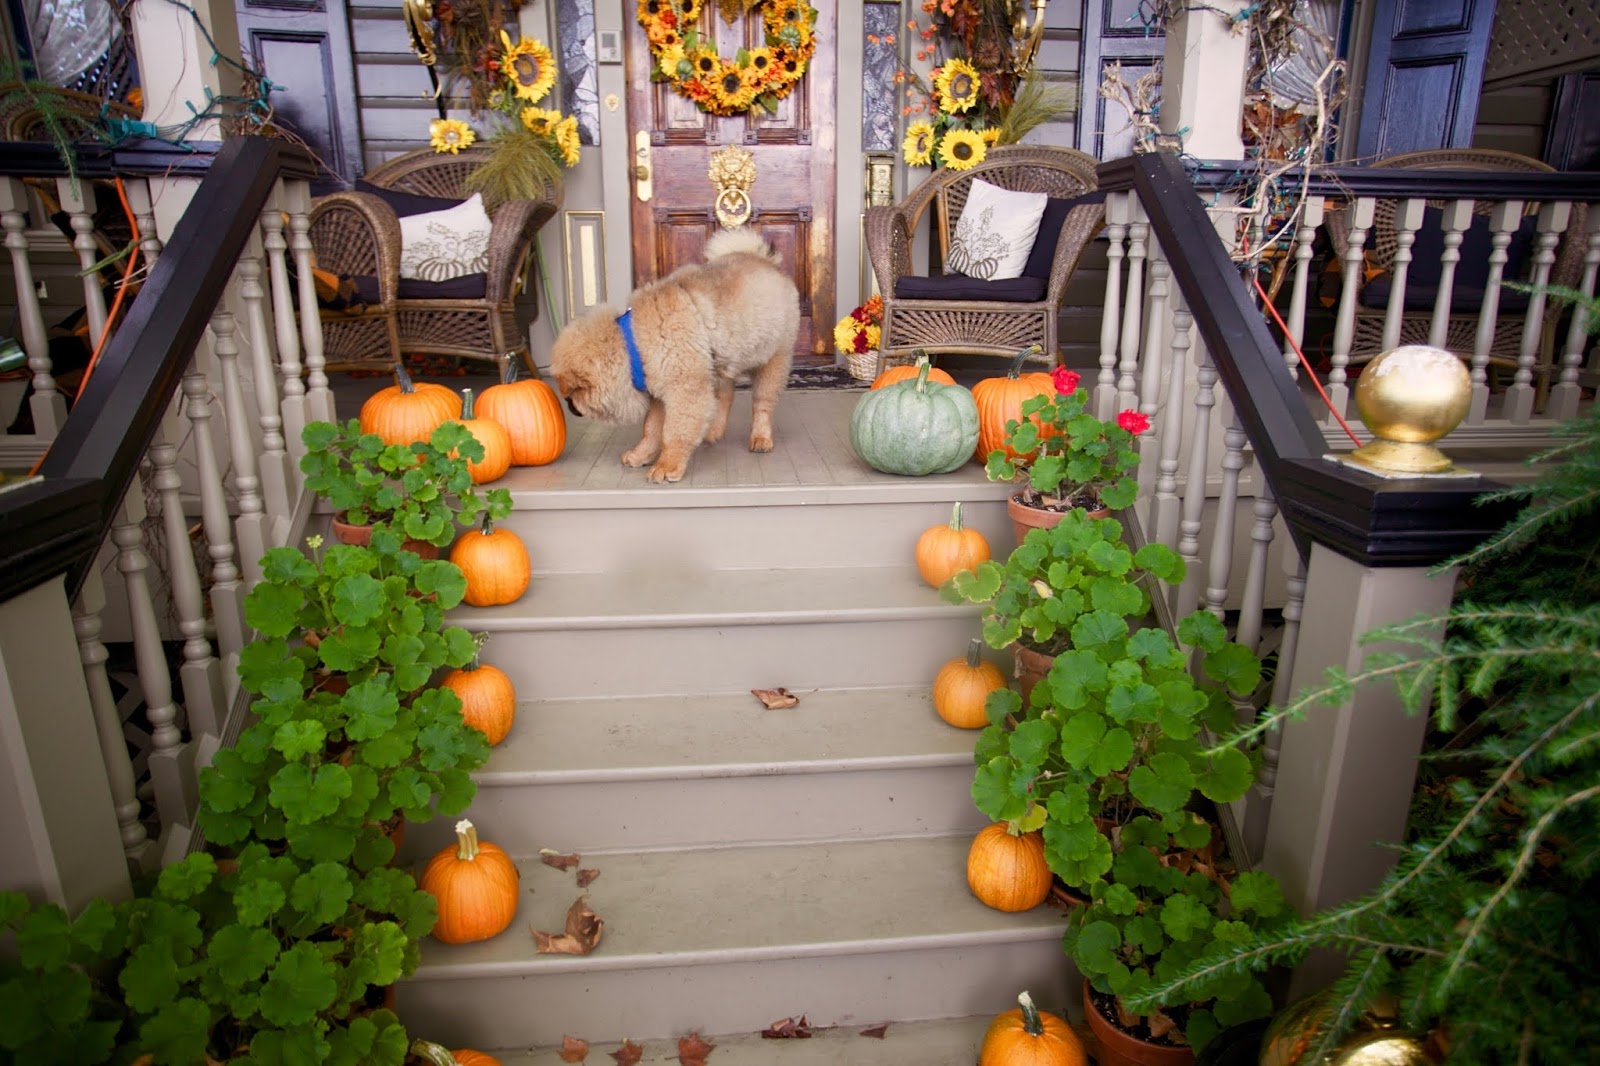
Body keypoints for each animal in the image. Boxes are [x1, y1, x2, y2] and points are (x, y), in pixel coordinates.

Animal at [550, 227, 799, 483]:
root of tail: (765, 261)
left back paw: (761, 438)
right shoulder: (660, 392)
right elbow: (650, 429)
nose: (568, 406)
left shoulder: (684, 390)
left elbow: (673, 432)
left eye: (572, 394)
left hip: (773, 358)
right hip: (719, 365)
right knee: (726, 395)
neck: (634, 345)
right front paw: (640, 455)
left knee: (762, 402)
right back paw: (714, 432)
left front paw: (666, 466)